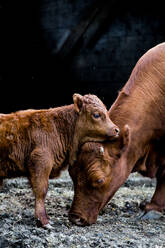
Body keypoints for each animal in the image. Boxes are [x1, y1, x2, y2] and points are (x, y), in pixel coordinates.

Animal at [0, 94, 119, 228]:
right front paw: (43, 221)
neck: (59, 128)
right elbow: (41, 190)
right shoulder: (41, 161)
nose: (116, 130)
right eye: (96, 114)